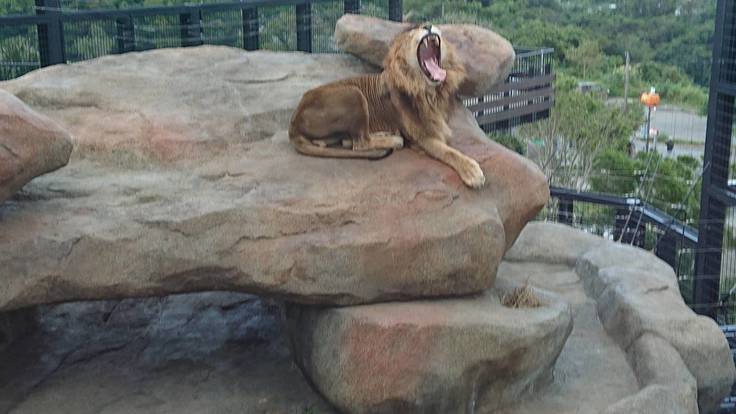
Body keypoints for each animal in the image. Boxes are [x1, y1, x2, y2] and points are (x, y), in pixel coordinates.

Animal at [290, 23, 486, 188]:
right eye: (412, 31)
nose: (428, 26)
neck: (430, 92)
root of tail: (294, 120)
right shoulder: (420, 138)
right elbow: (448, 152)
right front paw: (472, 171)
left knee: (343, 141)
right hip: (354, 93)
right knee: (359, 143)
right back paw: (394, 140)